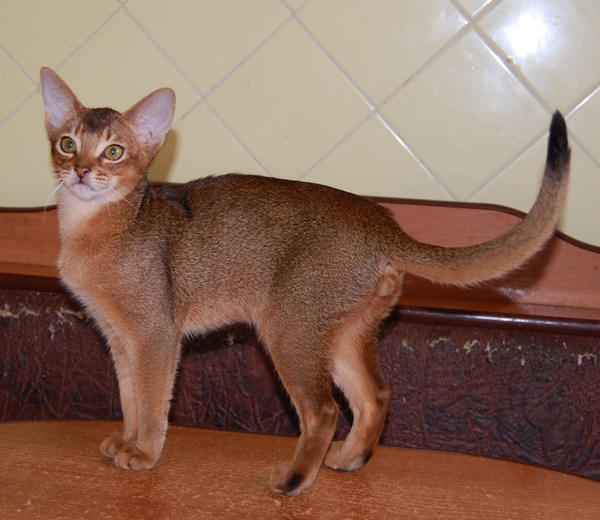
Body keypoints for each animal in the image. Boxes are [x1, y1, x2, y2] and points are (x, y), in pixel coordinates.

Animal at [40, 67, 570, 496]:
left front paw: (145, 453)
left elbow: (152, 401)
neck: (96, 230)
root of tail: (379, 222)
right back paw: (350, 459)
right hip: (340, 331)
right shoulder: (117, 337)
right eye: (67, 143)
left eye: (113, 152)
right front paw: (125, 441)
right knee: (375, 395)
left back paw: (294, 481)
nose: (81, 171)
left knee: (324, 411)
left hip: (289, 329)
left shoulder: (155, 334)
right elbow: (130, 396)